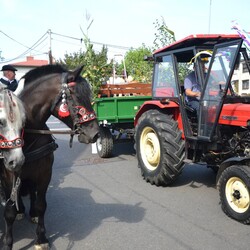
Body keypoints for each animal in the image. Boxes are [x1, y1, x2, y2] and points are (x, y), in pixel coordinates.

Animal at [2, 65, 99, 250]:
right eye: (76, 96)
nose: (95, 133)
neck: (28, 134)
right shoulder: (8, 175)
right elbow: (9, 210)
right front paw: (7, 242)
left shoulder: (44, 173)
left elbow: (41, 205)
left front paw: (41, 238)